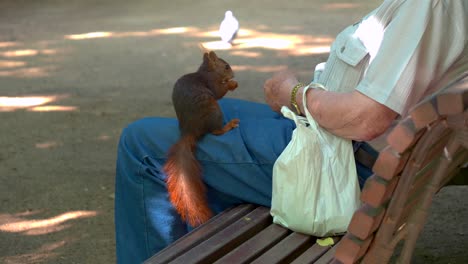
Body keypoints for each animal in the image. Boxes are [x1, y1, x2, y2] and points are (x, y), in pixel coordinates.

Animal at [163, 50, 239, 226]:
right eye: (226, 66)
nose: (233, 74)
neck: (207, 71)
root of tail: (189, 131)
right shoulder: (212, 83)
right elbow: (219, 92)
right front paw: (231, 84)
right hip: (214, 110)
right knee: (216, 131)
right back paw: (228, 125)